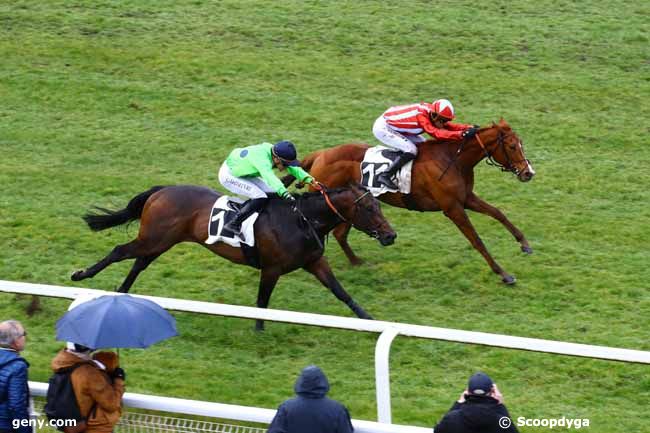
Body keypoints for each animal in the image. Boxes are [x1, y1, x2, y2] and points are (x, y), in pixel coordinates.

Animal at [69, 184, 394, 330]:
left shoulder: (314, 262)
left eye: (380, 207)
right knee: (119, 252)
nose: (390, 235)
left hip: (160, 242)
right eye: (369, 209)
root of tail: (162, 191)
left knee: (138, 263)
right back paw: (82, 274)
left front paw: (369, 319)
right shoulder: (272, 268)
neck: (302, 220)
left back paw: (122, 293)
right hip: (153, 238)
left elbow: (341, 292)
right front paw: (259, 329)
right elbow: (263, 302)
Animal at [288, 119, 532, 284]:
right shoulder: (452, 207)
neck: (453, 159)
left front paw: (524, 243)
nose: (528, 173)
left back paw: (357, 262)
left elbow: (498, 212)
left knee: (340, 234)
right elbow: (476, 240)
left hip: (351, 206)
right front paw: (504, 274)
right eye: (512, 146)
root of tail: (320, 154)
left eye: (521, 143)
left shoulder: (466, 198)